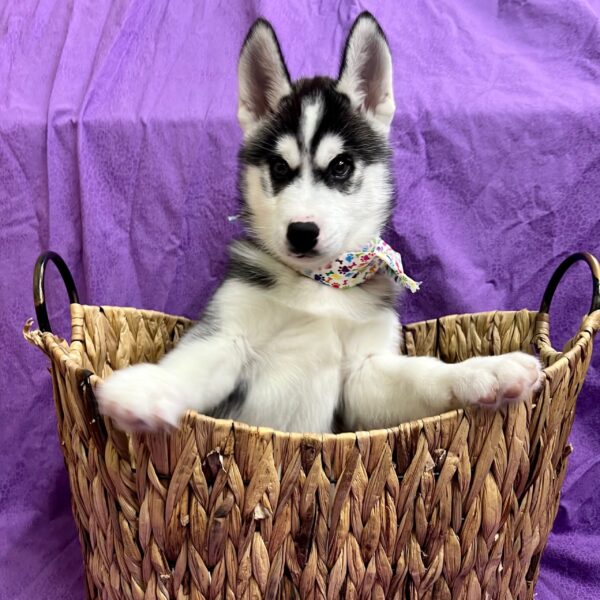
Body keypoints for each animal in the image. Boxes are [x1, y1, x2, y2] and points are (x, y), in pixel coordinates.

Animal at [96, 11, 540, 434]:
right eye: (279, 167)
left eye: (341, 165)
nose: (302, 232)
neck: (322, 285)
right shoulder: (226, 335)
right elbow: (189, 365)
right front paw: (145, 388)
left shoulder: (366, 374)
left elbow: (423, 374)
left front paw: (486, 370)